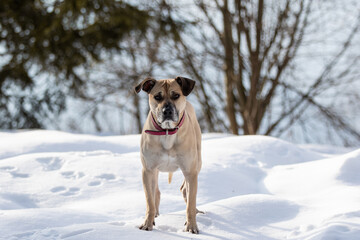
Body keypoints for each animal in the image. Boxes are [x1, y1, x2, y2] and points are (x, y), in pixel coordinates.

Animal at [135, 76, 202, 232]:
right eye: (157, 97)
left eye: (176, 95)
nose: (167, 111)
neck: (166, 132)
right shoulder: (148, 170)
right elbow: (149, 201)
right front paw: (147, 223)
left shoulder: (190, 170)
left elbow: (190, 203)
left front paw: (191, 226)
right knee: (156, 193)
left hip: (198, 162)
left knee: (185, 190)